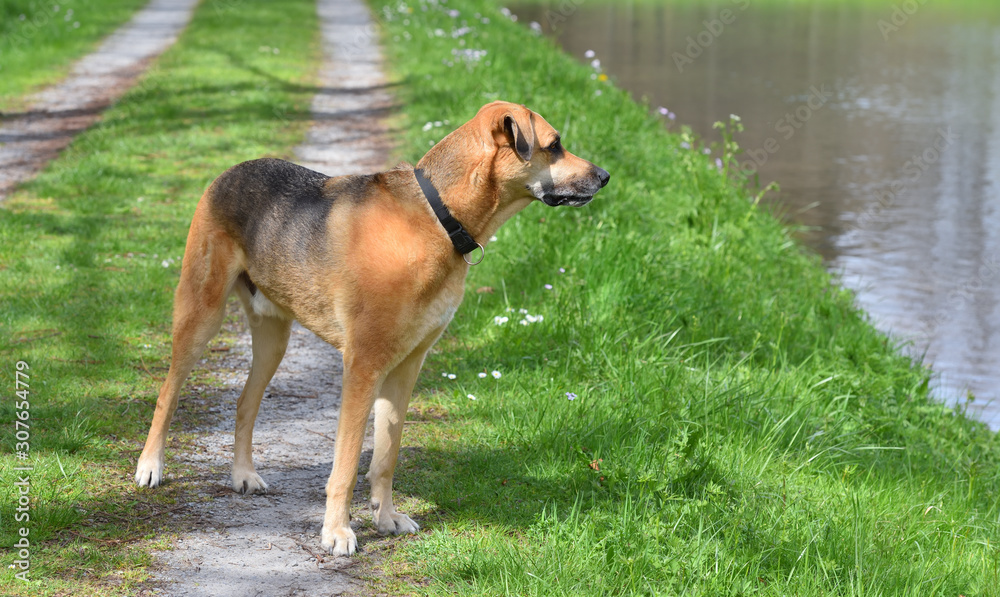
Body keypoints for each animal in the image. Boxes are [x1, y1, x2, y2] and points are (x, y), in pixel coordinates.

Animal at [135, 100, 608, 552]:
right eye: (554, 145)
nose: (604, 176)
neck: (439, 217)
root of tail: (231, 171)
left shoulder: (405, 368)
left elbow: (385, 456)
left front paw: (386, 518)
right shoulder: (362, 367)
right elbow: (345, 466)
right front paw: (337, 532)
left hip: (273, 339)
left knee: (244, 405)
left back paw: (243, 475)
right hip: (199, 315)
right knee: (167, 396)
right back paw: (150, 466)